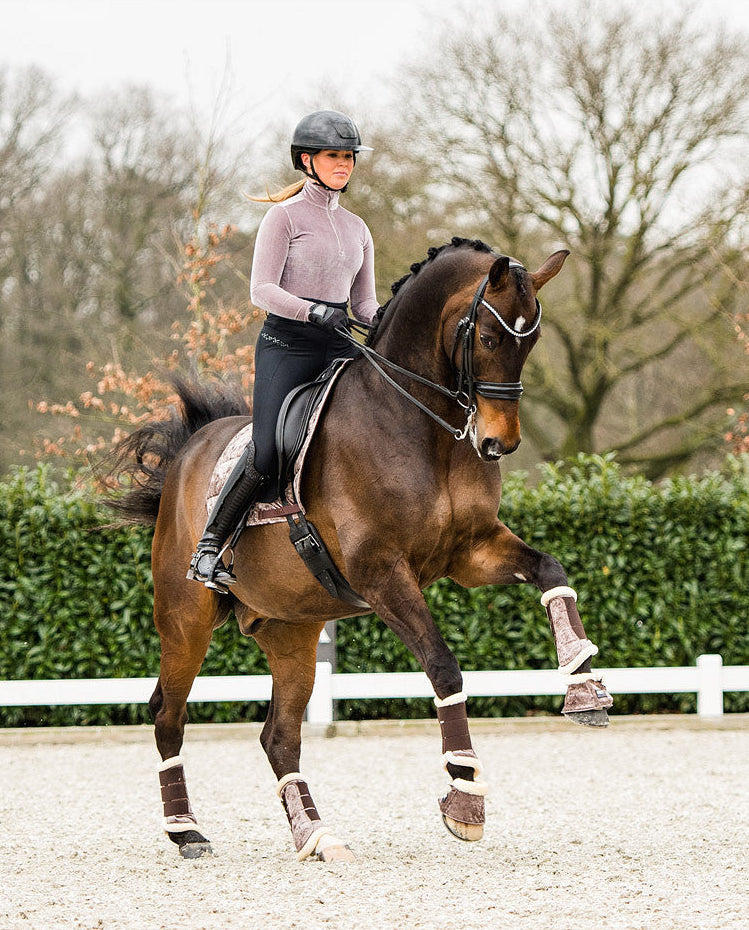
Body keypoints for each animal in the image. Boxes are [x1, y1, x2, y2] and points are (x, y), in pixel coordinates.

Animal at [105, 237, 612, 862]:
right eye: (491, 340)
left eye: (531, 342)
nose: (499, 442)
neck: (422, 426)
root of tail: (188, 451)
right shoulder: (382, 574)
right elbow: (443, 667)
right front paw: (464, 797)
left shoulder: (471, 553)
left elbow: (550, 570)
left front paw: (584, 687)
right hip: (185, 619)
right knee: (168, 716)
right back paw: (187, 831)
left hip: (291, 630)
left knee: (280, 735)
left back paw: (316, 836)